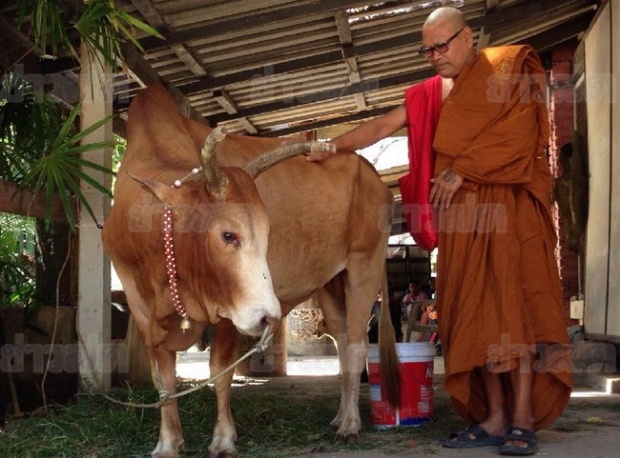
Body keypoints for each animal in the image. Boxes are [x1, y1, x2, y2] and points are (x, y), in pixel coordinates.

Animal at [98, 85, 394, 454]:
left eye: (268, 232)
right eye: (228, 235)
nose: (269, 317)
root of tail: (372, 174)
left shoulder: (229, 309)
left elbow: (221, 371)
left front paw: (224, 439)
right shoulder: (141, 308)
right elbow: (162, 379)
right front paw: (168, 443)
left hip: (364, 266)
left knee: (355, 345)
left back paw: (350, 425)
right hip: (330, 283)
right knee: (341, 341)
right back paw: (340, 416)